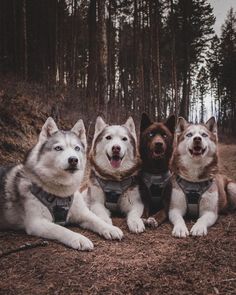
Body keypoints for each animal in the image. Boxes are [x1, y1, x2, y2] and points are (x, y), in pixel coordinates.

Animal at [0, 117, 123, 250]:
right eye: (58, 148)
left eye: (77, 148)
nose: (73, 159)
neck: (61, 192)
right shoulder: (37, 223)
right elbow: (61, 229)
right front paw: (79, 238)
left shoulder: (82, 213)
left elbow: (96, 219)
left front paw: (110, 228)